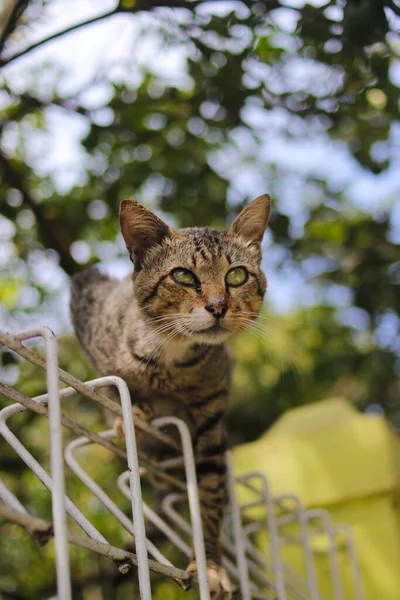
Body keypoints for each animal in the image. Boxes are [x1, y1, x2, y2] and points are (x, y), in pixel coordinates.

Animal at [71, 195, 272, 596]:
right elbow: (116, 381)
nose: (218, 306)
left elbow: (208, 504)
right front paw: (133, 410)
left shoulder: (211, 420)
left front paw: (211, 568)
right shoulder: (86, 297)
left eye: (236, 276)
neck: (170, 362)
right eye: (182, 276)